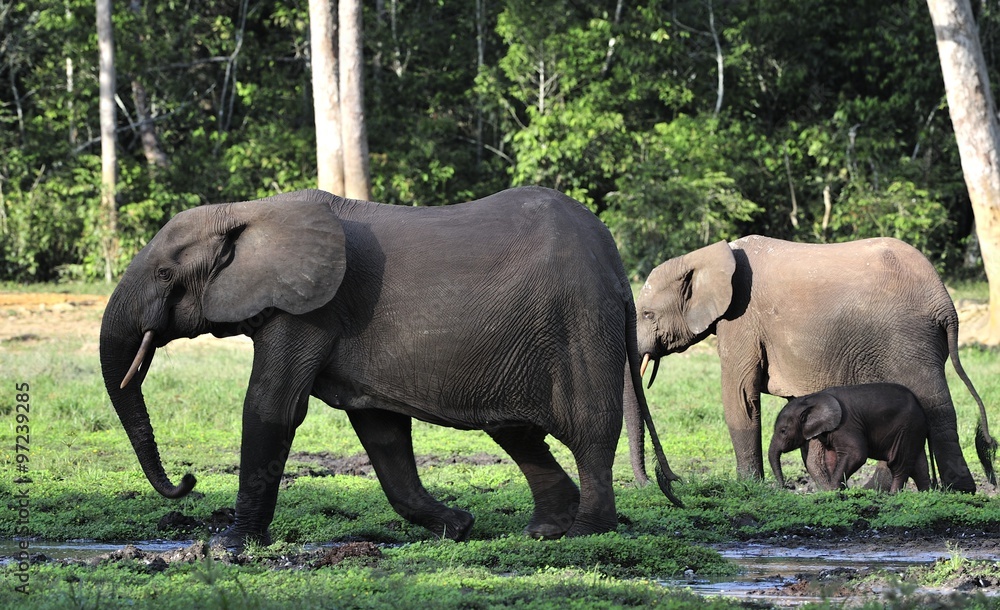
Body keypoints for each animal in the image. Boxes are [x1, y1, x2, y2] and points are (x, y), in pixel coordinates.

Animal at [99, 186, 681, 551]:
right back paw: (544, 530)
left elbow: (271, 408)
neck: (250, 210)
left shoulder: (309, 309)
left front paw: (229, 545)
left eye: (165, 274)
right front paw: (457, 527)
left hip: (579, 322)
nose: (187, 481)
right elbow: (380, 430)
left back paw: (587, 534)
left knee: (589, 432)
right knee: (515, 431)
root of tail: (616, 266)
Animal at [768, 383, 932, 492]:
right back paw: (926, 494)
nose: (786, 487)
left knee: (898, 464)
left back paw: (893, 495)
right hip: (913, 431)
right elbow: (831, 458)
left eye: (783, 431)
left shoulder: (846, 425)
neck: (811, 398)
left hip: (906, 428)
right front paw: (838, 492)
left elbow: (856, 454)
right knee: (918, 465)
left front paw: (834, 491)